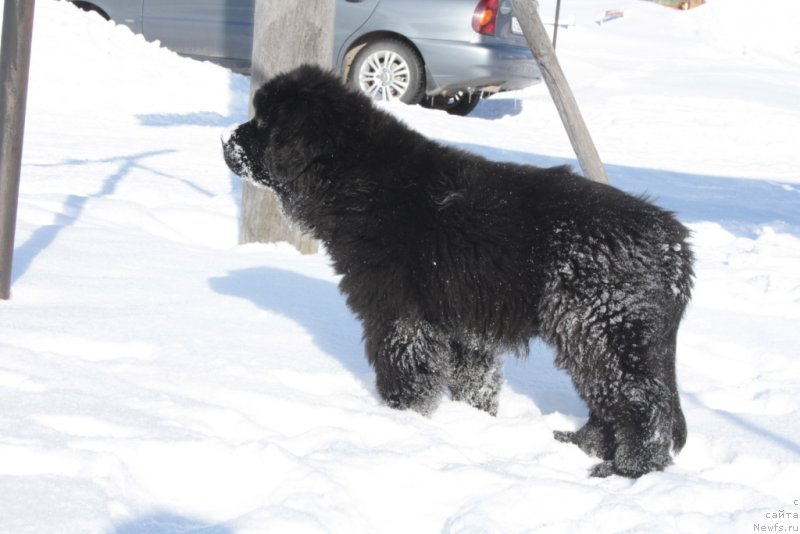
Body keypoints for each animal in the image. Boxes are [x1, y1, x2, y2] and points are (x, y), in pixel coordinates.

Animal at [220, 65, 692, 480]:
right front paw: (474, 420)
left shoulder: (400, 313)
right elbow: (475, 380)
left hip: (603, 330)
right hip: (598, 337)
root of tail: (674, 243)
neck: (356, 177)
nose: (226, 141)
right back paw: (579, 444)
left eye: (263, 122)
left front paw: (403, 421)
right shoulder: (465, 322)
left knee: (642, 405)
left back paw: (625, 471)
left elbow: (405, 371)